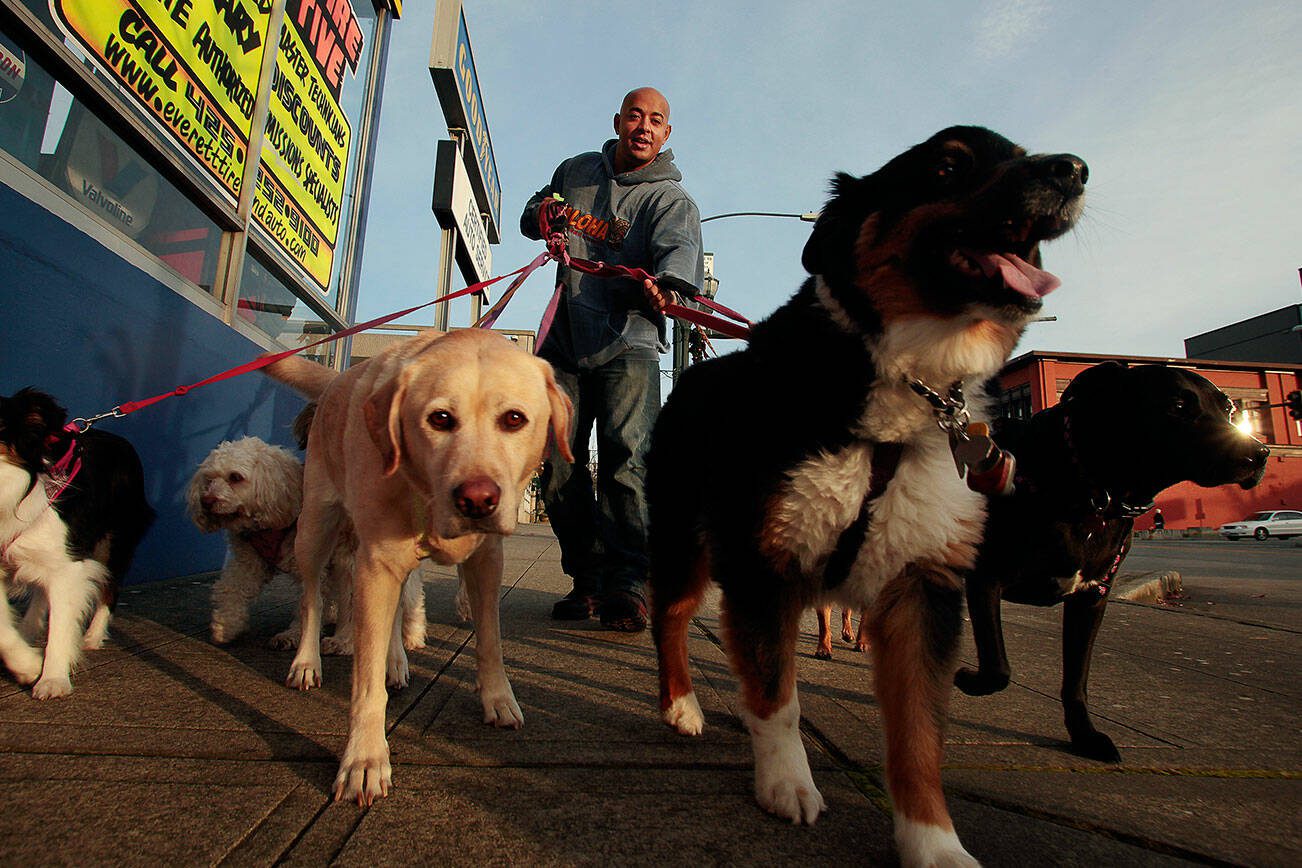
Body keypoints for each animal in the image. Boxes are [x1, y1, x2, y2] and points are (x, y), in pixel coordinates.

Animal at [0, 387, 153, 697]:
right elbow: (2, 630)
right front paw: (27, 665)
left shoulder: (70, 563)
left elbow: (61, 623)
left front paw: (52, 679)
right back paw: (28, 631)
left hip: (113, 538)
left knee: (109, 586)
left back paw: (92, 636)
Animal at [187, 437, 427, 671]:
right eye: (208, 479)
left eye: (235, 477)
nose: (207, 501)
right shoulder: (249, 562)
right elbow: (231, 588)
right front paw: (225, 626)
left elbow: (310, 604)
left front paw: (294, 636)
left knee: (409, 595)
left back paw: (408, 636)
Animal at [263, 329, 570, 806]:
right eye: (440, 419)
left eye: (514, 419)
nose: (477, 499)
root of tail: (336, 381)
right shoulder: (375, 564)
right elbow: (365, 684)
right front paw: (364, 759)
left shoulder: (486, 561)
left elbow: (490, 640)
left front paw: (498, 698)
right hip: (315, 527)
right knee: (311, 598)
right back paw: (307, 662)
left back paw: (395, 660)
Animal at [651, 125, 1088, 864]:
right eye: (946, 167)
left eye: (1019, 152)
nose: (1073, 169)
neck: (906, 378)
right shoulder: (763, 562)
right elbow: (777, 696)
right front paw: (786, 784)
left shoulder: (923, 584)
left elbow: (918, 736)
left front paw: (933, 841)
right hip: (686, 542)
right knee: (672, 618)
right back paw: (680, 706)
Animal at [958, 364, 1270, 765]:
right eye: (1177, 405)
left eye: (1230, 409)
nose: (1258, 453)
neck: (1091, 490)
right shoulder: (985, 578)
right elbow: (998, 667)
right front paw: (968, 679)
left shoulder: (1091, 599)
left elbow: (1076, 680)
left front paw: (1083, 736)